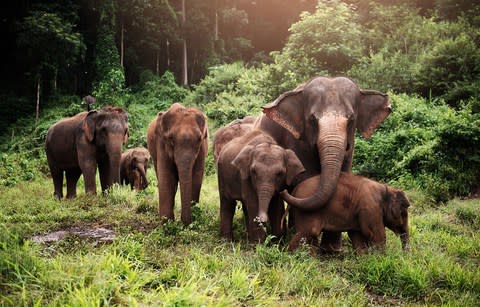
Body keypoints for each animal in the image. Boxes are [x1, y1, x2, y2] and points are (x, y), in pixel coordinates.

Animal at [256, 76, 392, 253]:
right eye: (312, 119)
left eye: (351, 119)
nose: (283, 190)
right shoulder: (297, 141)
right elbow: (305, 177)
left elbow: (343, 175)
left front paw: (332, 250)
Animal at [284, 173, 412, 255]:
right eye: (403, 213)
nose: (405, 257)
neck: (386, 189)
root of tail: (294, 190)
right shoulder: (371, 208)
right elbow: (377, 234)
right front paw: (382, 259)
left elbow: (357, 235)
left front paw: (364, 259)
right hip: (307, 212)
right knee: (309, 231)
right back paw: (292, 256)